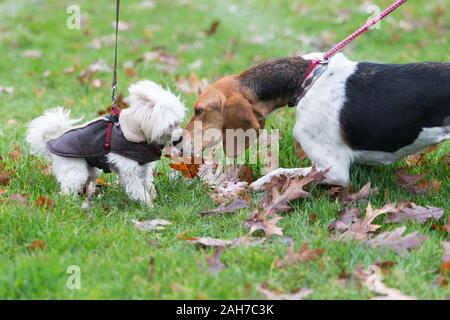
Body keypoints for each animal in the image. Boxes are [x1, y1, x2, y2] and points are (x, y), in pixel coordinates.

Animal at [26, 79, 185, 206]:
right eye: (171, 125)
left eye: (178, 122)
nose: (180, 139)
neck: (137, 132)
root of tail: (52, 141)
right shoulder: (130, 171)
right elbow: (138, 189)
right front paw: (147, 204)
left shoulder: (144, 168)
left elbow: (148, 184)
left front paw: (154, 197)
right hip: (75, 170)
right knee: (67, 190)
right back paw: (70, 202)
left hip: (91, 170)